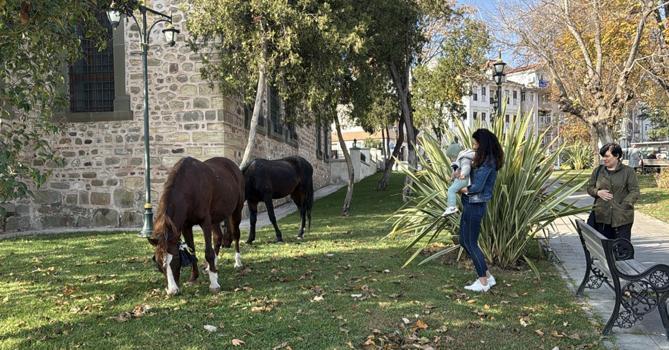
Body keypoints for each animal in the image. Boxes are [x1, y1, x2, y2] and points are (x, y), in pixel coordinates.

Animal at [147, 157, 244, 296]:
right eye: (158, 261)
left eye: (176, 258)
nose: (172, 291)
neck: (188, 187)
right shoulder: (186, 226)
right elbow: (191, 250)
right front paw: (194, 277)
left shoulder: (205, 222)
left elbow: (208, 252)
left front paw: (214, 284)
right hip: (215, 218)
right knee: (218, 238)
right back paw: (211, 266)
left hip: (236, 211)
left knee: (236, 234)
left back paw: (237, 262)